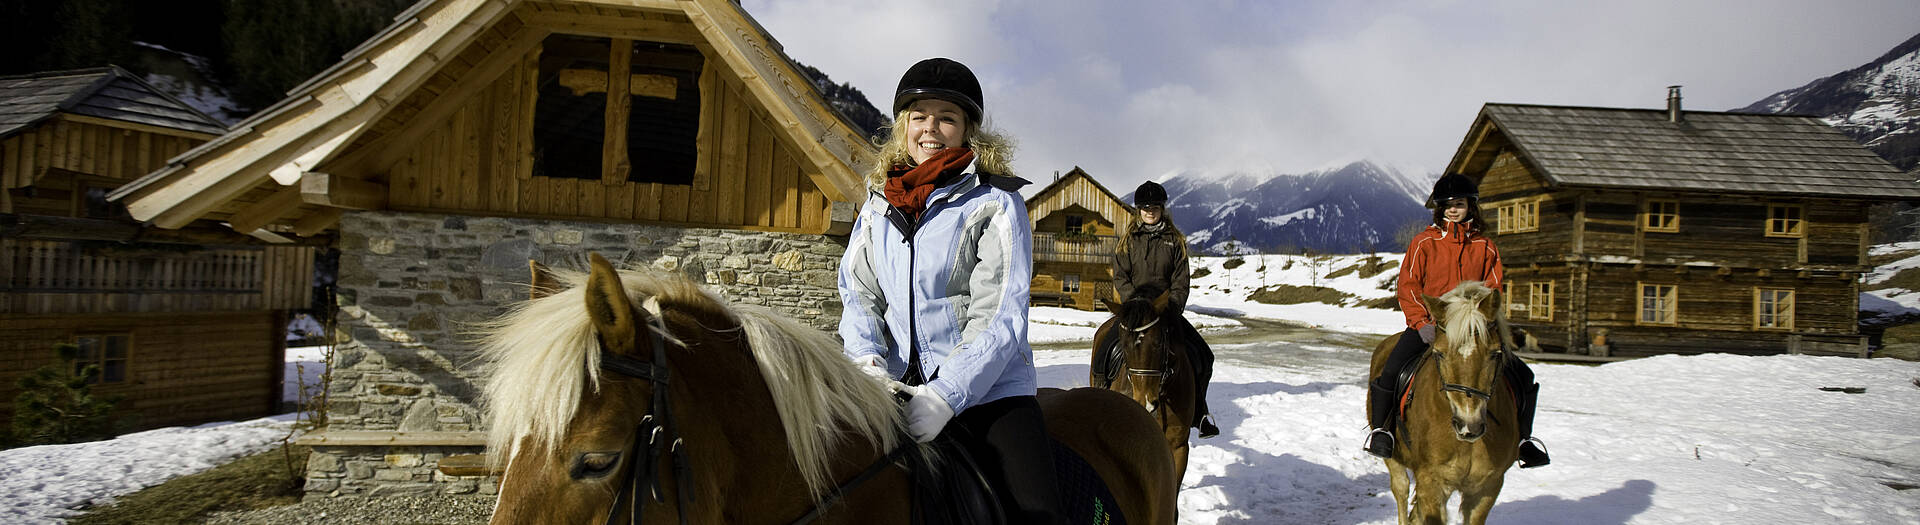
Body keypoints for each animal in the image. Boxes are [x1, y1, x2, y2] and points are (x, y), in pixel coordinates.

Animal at [1374, 282, 1520, 523]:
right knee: (1401, 490)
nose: (1468, 425)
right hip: (1394, 459)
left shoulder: (1487, 488)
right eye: (1439, 353)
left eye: (1494, 353)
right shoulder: (1431, 482)